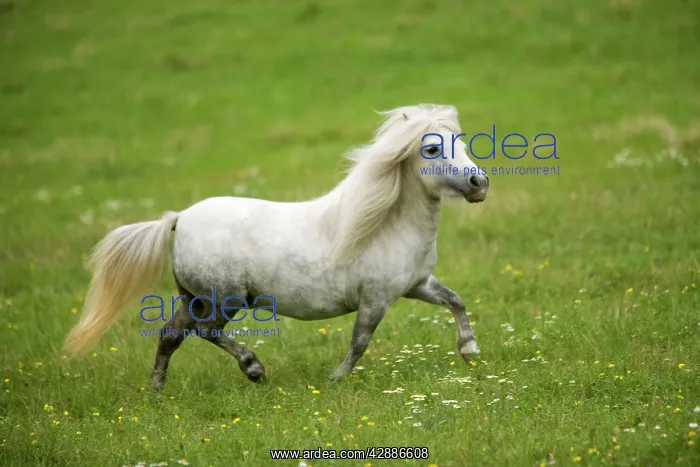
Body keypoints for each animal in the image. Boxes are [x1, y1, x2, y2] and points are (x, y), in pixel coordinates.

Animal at [64, 104, 490, 389]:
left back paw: (156, 389)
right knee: (205, 333)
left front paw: (470, 350)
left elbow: (455, 300)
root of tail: (180, 218)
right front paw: (336, 377)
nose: (479, 184)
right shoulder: (376, 299)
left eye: (460, 141)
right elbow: (360, 341)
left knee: (171, 334)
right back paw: (254, 369)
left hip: (194, 297)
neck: (387, 226)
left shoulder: (417, 285)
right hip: (225, 299)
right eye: (431, 150)